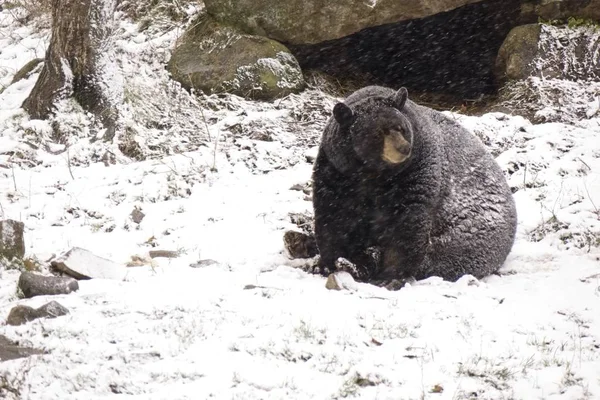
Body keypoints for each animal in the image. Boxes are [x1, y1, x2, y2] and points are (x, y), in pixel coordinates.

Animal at [314, 85, 516, 288]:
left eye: (401, 128)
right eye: (378, 133)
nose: (403, 148)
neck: (374, 174)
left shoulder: (415, 171)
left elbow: (407, 222)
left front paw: (389, 275)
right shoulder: (337, 170)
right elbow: (334, 214)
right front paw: (331, 262)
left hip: (473, 228)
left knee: (448, 255)